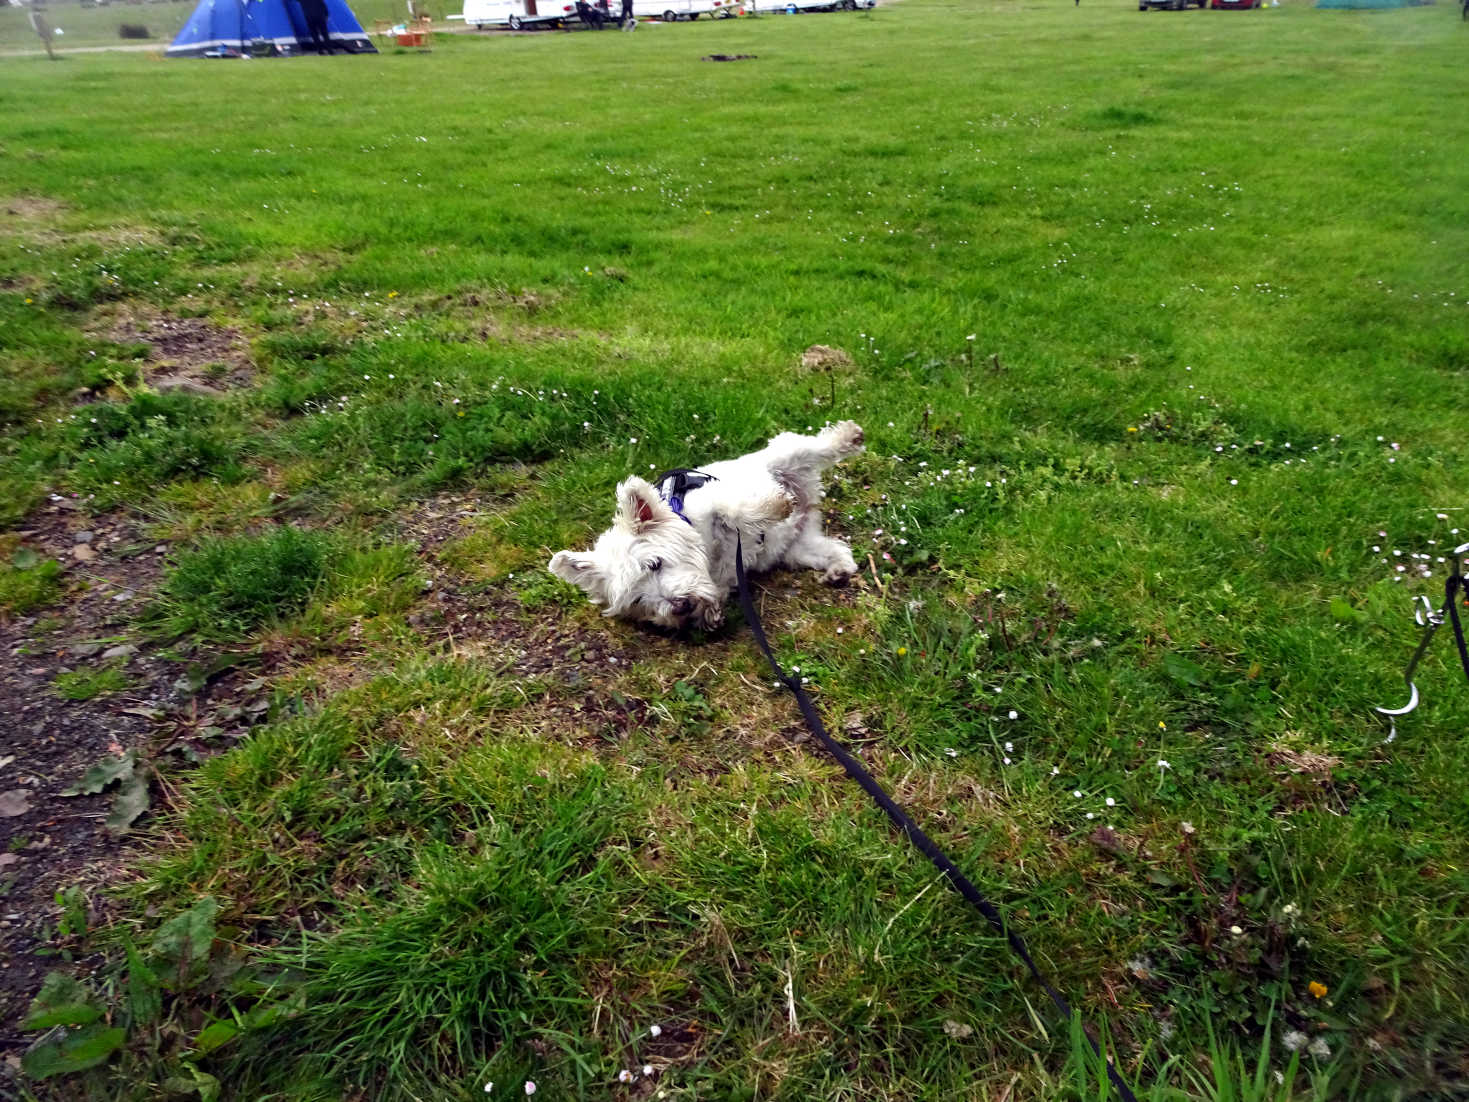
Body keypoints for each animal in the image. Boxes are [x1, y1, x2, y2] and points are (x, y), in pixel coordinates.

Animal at [555, 420, 863, 628]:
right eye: (637, 600)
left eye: (654, 564)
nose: (680, 607)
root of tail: (806, 499)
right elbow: (717, 589)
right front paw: (709, 613)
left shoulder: (715, 498)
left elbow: (734, 510)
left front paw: (774, 505)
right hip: (796, 548)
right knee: (833, 548)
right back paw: (838, 570)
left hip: (787, 455)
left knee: (817, 446)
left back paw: (848, 436)